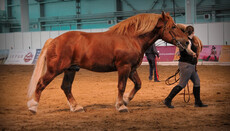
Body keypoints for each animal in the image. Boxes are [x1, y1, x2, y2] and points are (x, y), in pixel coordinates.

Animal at [27, 11, 189, 113]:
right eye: (173, 26)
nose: (186, 41)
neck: (131, 38)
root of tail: (54, 40)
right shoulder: (124, 67)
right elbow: (121, 86)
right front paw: (121, 106)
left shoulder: (131, 69)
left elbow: (138, 84)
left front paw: (126, 100)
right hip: (54, 70)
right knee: (41, 84)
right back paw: (33, 107)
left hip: (70, 70)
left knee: (66, 87)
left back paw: (76, 107)